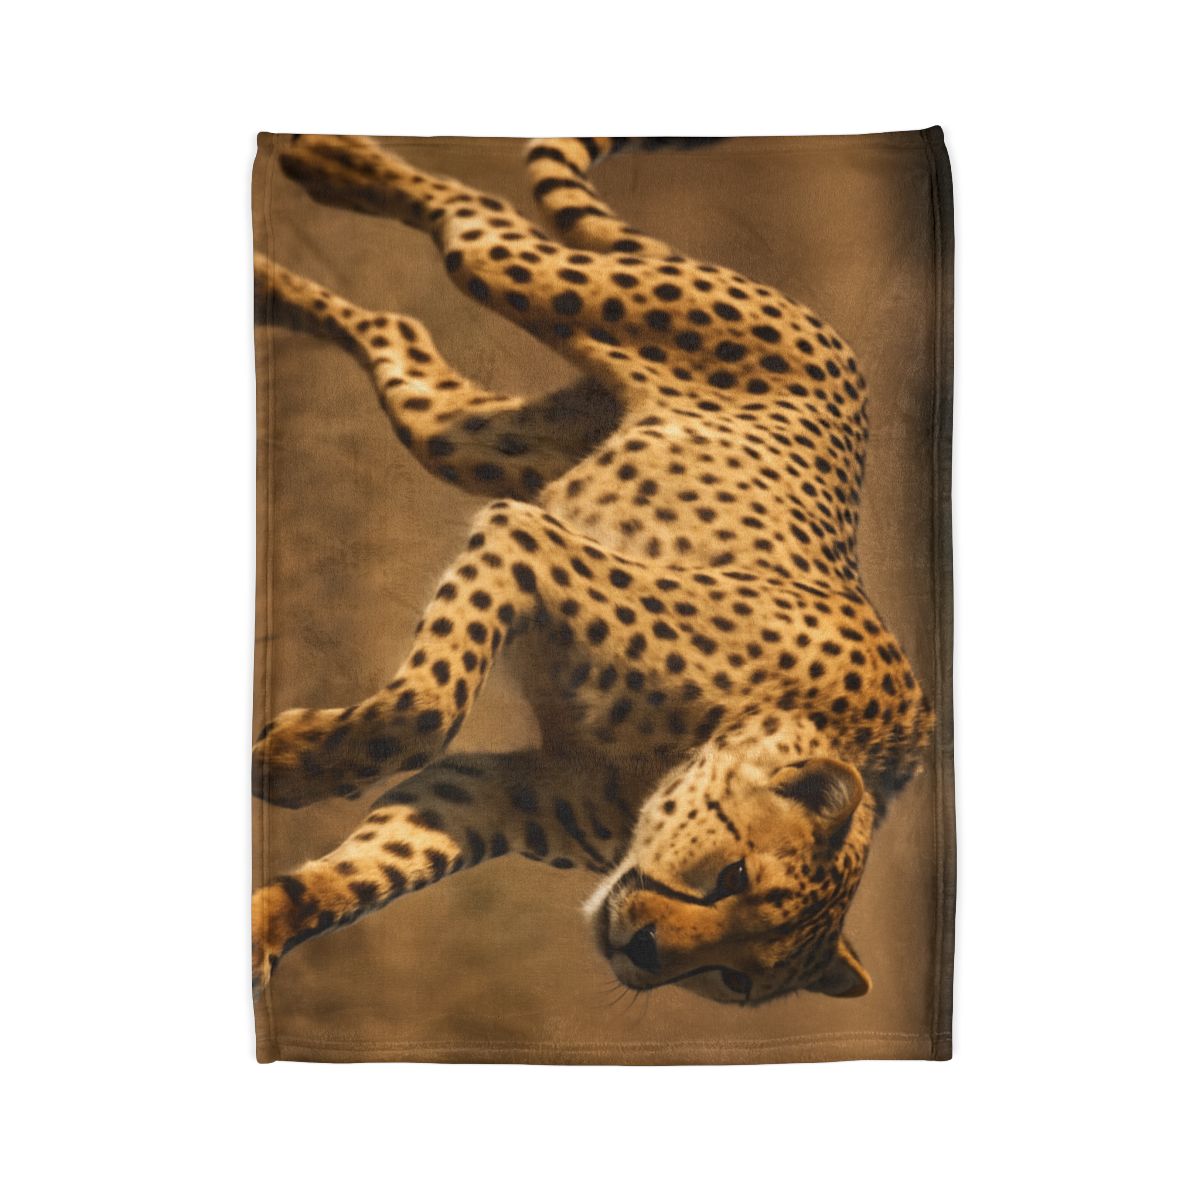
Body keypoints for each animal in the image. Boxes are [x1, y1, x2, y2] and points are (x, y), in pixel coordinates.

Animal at [252, 135, 934, 1008]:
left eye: (736, 979)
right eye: (732, 877)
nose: (641, 952)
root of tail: (841, 344)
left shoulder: (487, 794)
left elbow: (374, 869)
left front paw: (267, 924)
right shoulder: (527, 537)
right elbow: (426, 707)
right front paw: (294, 762)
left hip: (471, 440)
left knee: (397, 330)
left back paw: (269, 285)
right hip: (556, 294)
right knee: (473, 221)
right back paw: (329, 158)